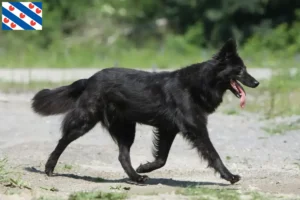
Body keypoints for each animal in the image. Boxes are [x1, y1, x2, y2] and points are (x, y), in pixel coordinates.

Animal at [31, 38, 258, 184]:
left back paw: (137, 177)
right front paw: (229, 176)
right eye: (240, 70)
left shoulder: (168, 130)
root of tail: (89, 79)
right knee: (63, 141)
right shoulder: (196, 129)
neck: (199, 83)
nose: (257, 82)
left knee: (123, 156)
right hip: (85, 121)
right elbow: (213, 153)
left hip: (126, 128)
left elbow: (162, 158)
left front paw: (145, 167)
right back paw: (49, 167)